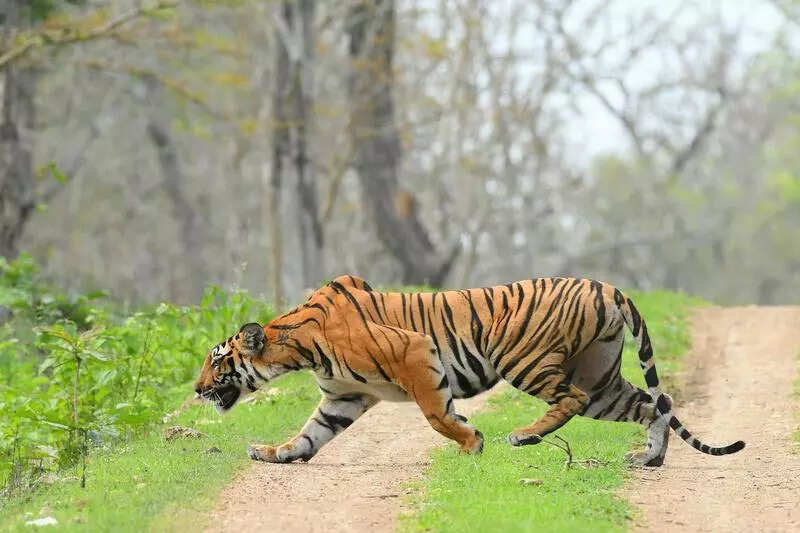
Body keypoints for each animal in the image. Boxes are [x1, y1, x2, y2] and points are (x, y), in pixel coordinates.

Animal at [194, 275, 744, 467]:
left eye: (216, 361)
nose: (197, 390)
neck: (297, 347)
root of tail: (605, 285)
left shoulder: (416, 354)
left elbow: (438, 415)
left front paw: (470, 443)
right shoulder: (341, 397)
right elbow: (310, 434)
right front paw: (275, 454)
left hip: (522, 357)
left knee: (572, 399)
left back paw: (523, 436)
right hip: (601, 374)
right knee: (654, 404)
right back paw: (649, 459)